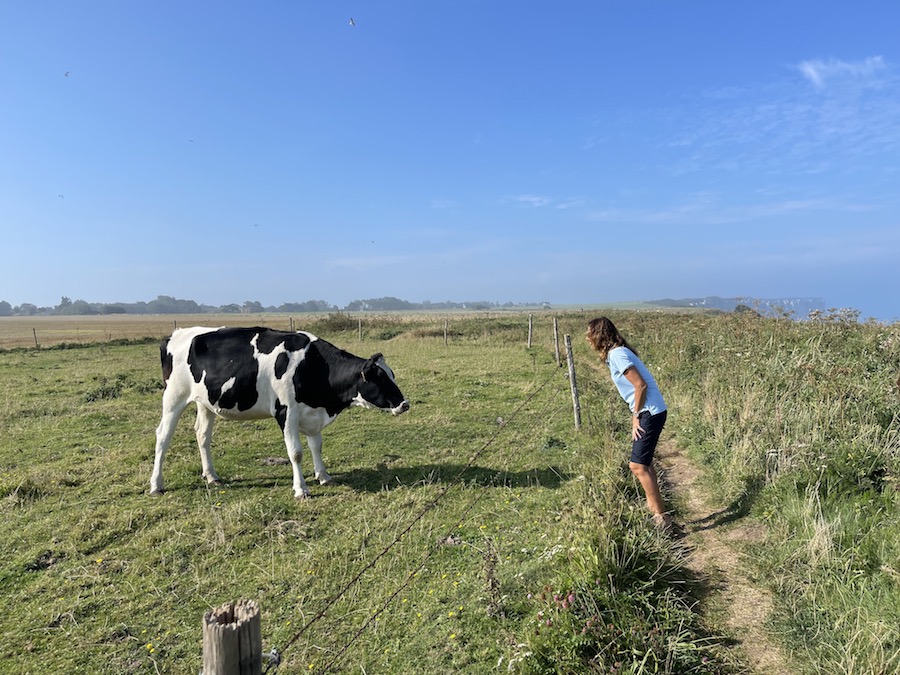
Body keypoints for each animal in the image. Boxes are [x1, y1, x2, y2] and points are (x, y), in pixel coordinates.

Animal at [152, 328, 412, 496]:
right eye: (380, 379)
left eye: (392, 375)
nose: (404, 404)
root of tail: (175, 335)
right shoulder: (286, 412)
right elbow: (296, 453)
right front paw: (301, 489)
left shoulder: (312, 414)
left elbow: (316, 446)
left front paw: (324, 477)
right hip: (174, 396)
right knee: (163, 436)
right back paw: (156, 485)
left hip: (205, 402)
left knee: (202, 436)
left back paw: (212, 476)